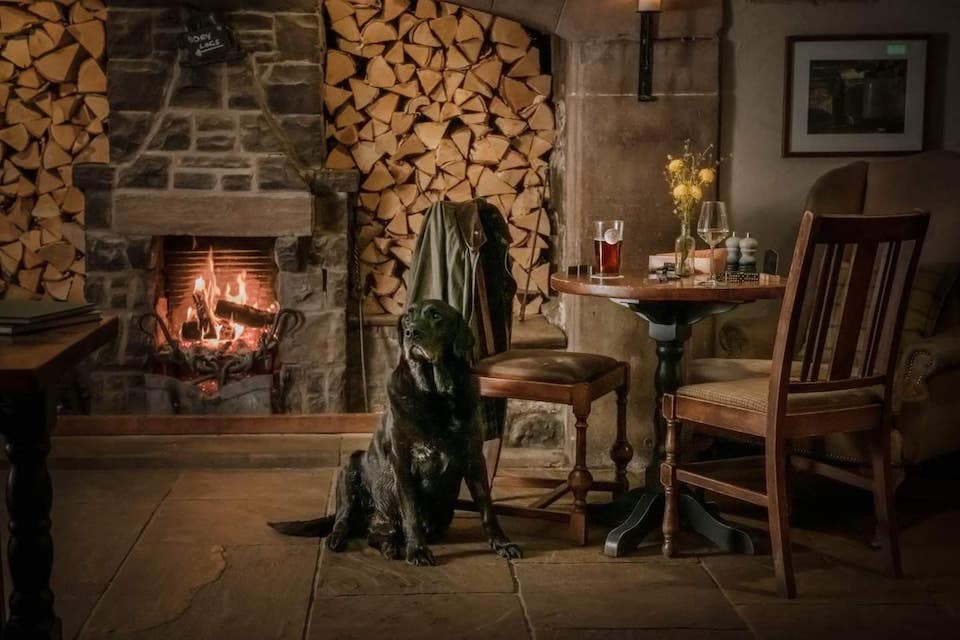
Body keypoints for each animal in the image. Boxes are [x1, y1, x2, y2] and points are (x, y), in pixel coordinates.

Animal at [270, 300, 520, 564]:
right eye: (407, 318)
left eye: (436, 316)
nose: (411, 333)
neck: (435, 394)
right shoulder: (402, 462)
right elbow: (410, 512)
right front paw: (418, 550)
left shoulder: (474, 457)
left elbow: (486, 507)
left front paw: (502, 543)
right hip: (350, 468)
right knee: (345, 519)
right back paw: (343, 539)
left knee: (375, 534)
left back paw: (390, 545)